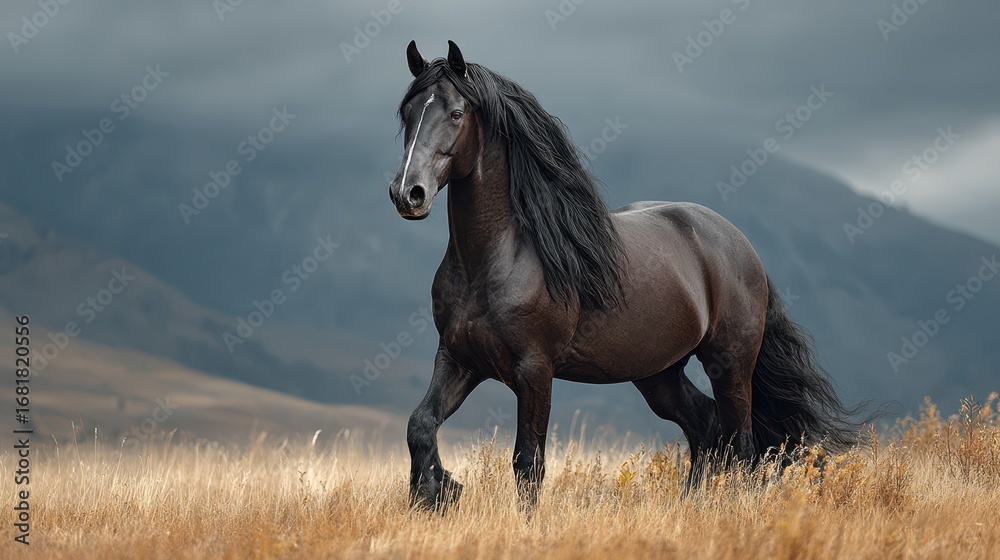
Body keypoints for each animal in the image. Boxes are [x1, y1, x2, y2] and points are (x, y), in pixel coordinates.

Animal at [388, 40, 859, 510]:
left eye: (456, 113)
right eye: (407, 111)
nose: (408, 193)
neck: (494, 262)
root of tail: (741, 246)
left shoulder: (534, 370)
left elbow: (527, 463)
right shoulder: (458, 359)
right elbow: (419, 425)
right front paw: (437, 492)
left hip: (731, 364)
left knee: (741, 446)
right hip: (659, 374)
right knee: (705, 426)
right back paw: (688, 507)